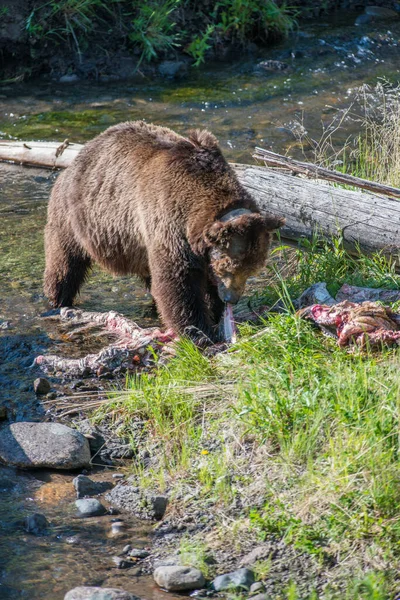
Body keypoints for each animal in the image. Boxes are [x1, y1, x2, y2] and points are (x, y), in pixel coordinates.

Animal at [44, 122, 284, 342]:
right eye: (230, 268)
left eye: (252, 270)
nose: (232, 299)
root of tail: (73, 162)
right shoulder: (169, 221)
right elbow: (178, 282)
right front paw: (198, 330)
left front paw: (214, 312)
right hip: (76, 218)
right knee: (65, 263)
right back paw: (57, 300)